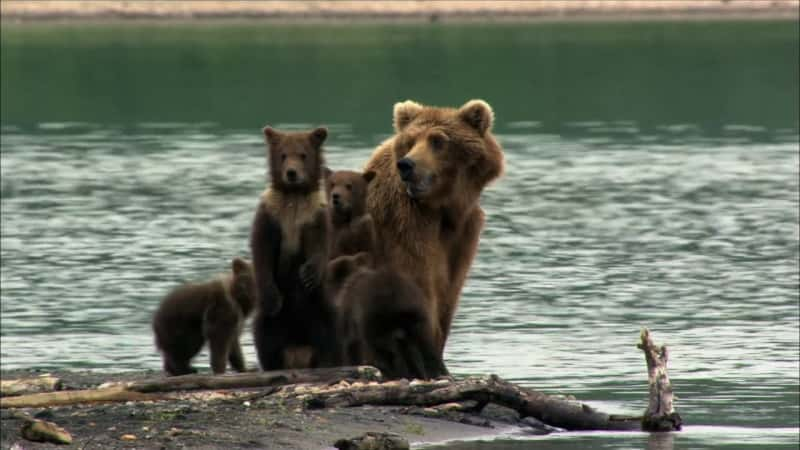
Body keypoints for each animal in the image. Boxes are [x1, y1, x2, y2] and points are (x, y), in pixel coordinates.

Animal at [364, 98, 504, 356]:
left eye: (438, 140)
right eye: (410, 141)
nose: (406, 164)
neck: (442, 209)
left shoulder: (462, 238)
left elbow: (445, 301)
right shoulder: (406, 229)